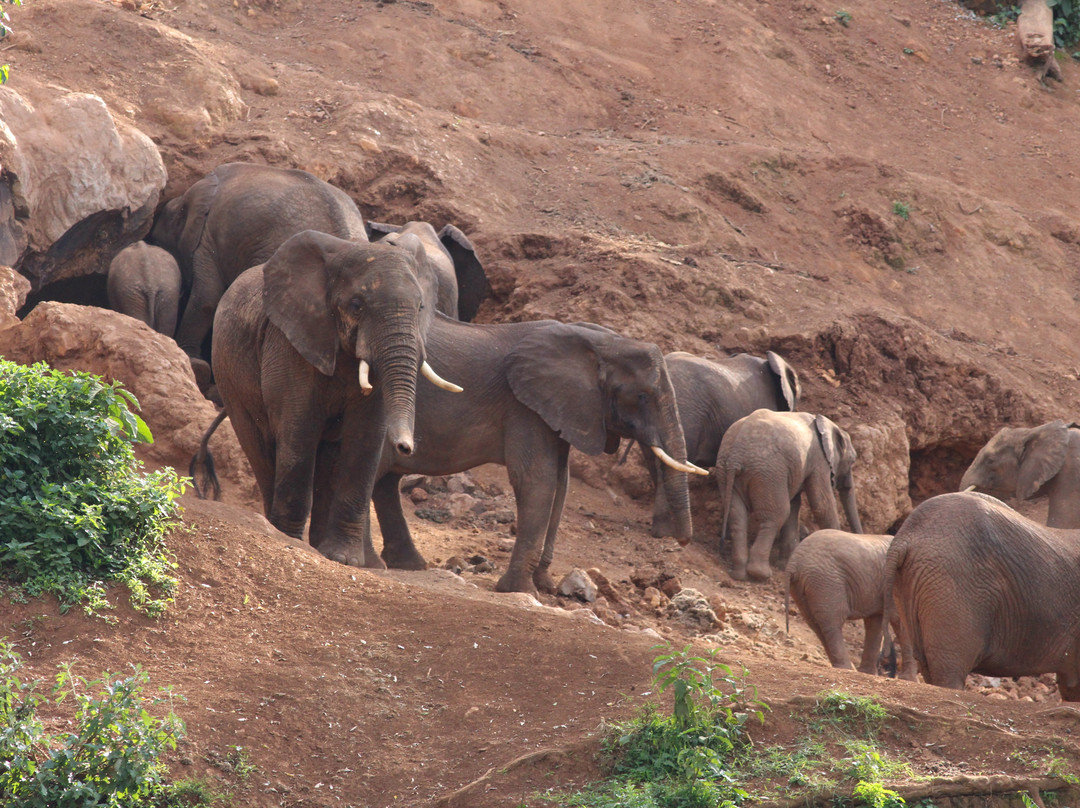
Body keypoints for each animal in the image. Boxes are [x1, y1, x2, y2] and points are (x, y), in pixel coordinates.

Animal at [210, 229, 462, 565]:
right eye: (356, 305)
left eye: (421, 307)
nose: (406, 448)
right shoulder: (290, 341)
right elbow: (300, 430)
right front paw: (289, 540)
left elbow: (365, 438)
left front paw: (344, 558)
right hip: (228, 376)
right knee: (261, 448)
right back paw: (276, 528)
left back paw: (320, 547)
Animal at [363, 317, 707, 595]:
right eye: (642, 396)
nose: (682, 542)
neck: (600, 342)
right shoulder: (523, 407)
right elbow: (536, 480)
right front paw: (519, 590)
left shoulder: (560, 409)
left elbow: (560, 483)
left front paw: (546, 586)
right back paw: (369, 562)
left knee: (384, 480)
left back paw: (408, 564)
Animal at [717, 409, 863, 581]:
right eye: (852, 461)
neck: (826, 423)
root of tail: (736, 455)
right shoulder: (819, 460)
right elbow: (821, 505)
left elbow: (795, 505)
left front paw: (785, 565)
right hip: (768, 473)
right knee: (777, 514)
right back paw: (760, 574)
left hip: (727, 471)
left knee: (737, 515)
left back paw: (739, 574)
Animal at [786, 529, 914, 677]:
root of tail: (793, 562)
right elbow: (900, 620)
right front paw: (909, 679)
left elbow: (875, 622)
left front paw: (868, 673)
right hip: (826, 581)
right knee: (832, 623)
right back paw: (846, 668)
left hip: (804, 586)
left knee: (815, 624)